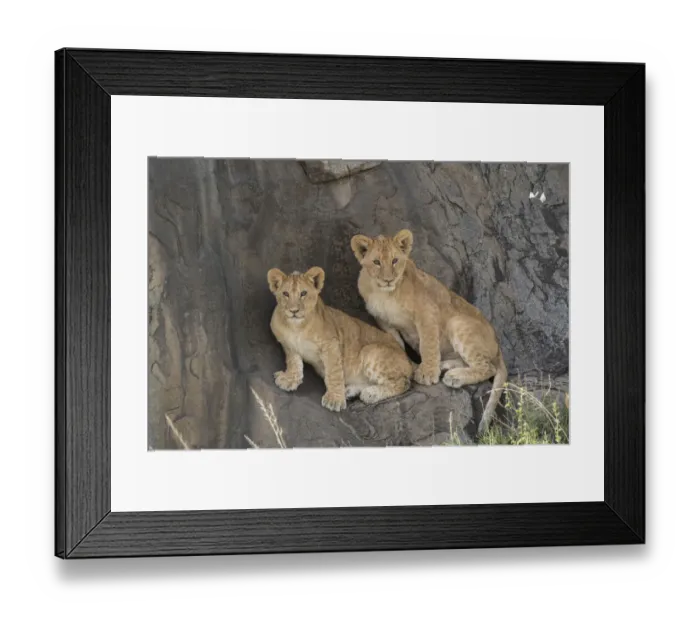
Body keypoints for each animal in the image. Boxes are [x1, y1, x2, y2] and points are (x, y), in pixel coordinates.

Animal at [267, 266, 413, 412]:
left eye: (303, 293)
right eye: (285, 293)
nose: (294, 311)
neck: (296, 327)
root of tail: (406, 357)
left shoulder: (331, 344)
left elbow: (334, 372)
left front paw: (334, 399)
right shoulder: (289, 345)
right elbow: (293, 363)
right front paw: (289, 379)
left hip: (370, 351)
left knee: (404, 383)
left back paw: (371, 393)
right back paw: (349, 390)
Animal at [350, 229, 508, 434]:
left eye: (395, 260)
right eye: (376, 262)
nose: (388, 279)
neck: (385, 294)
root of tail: (498, 345)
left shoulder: (427, 311)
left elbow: (428, 343)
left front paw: (427, 373)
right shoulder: (383, 321)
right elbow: (397, 345)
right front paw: (409, 366)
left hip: (457, 322)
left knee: (488, 368)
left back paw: (454, 376)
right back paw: (446, 365)